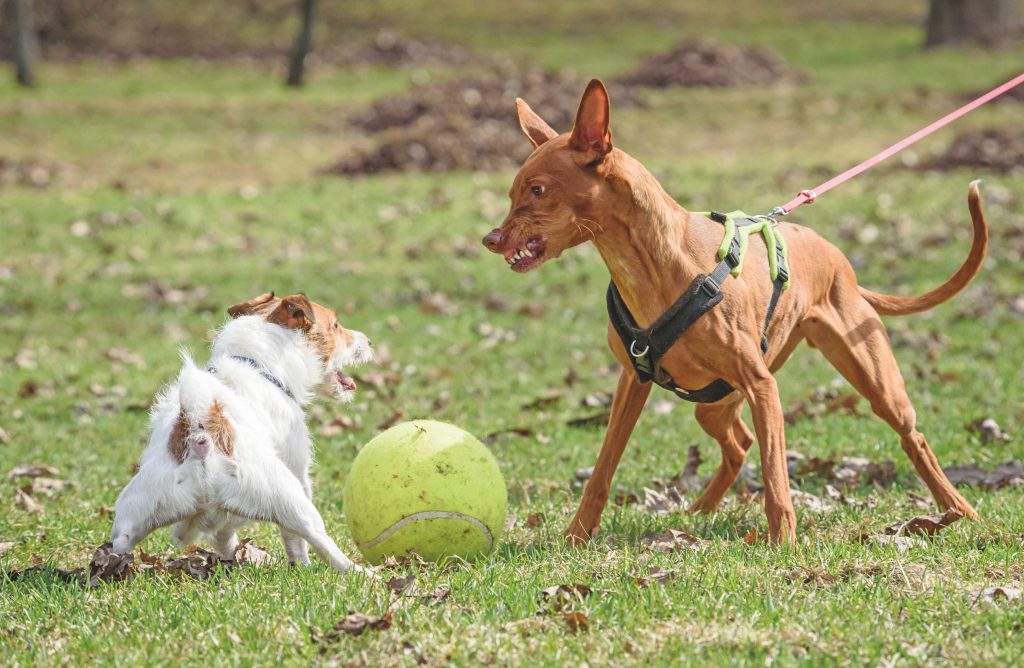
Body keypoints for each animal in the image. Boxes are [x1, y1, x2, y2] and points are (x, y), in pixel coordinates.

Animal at [110, 293, 374, 573]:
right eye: (335, 325)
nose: (369, 341)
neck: (258, 365)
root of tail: (202, 438)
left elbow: (224, 535)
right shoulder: (298, 467)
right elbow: (294, 541)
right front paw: (301, 566)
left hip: (137, 510)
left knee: (120, 543)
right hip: (291, 500)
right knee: (322, 543)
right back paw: (362, 573)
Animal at [483, 80, 987, 545]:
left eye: (538, 190)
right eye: (512, 193)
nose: (491, 239)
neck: (655, 265)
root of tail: (840, 261)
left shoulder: (763, 387)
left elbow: (776, 478)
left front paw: (783, 544)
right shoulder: (633, 381)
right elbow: (602, 471)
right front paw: (576, 536)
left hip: (874, 382)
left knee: (913, 439)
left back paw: (959, 510)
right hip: (714, 404)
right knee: (739, 444)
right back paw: (699, 511)